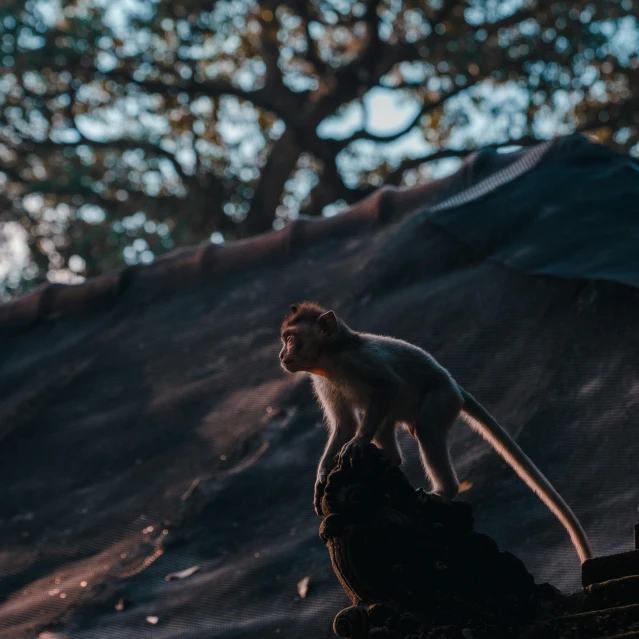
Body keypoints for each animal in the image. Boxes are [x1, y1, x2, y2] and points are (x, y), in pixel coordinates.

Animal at [280, 302, 596, 564]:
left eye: (291, 338)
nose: (282, 353)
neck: (330, 358)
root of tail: (455, 386)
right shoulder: (322, 380)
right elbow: (344, 422)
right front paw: (323, 473)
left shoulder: (358, 361)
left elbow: (387, 388)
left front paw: (357, 443)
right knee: (386, 423)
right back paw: (391, 460)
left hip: (441, 400)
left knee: (424, 428)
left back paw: (445, 491)